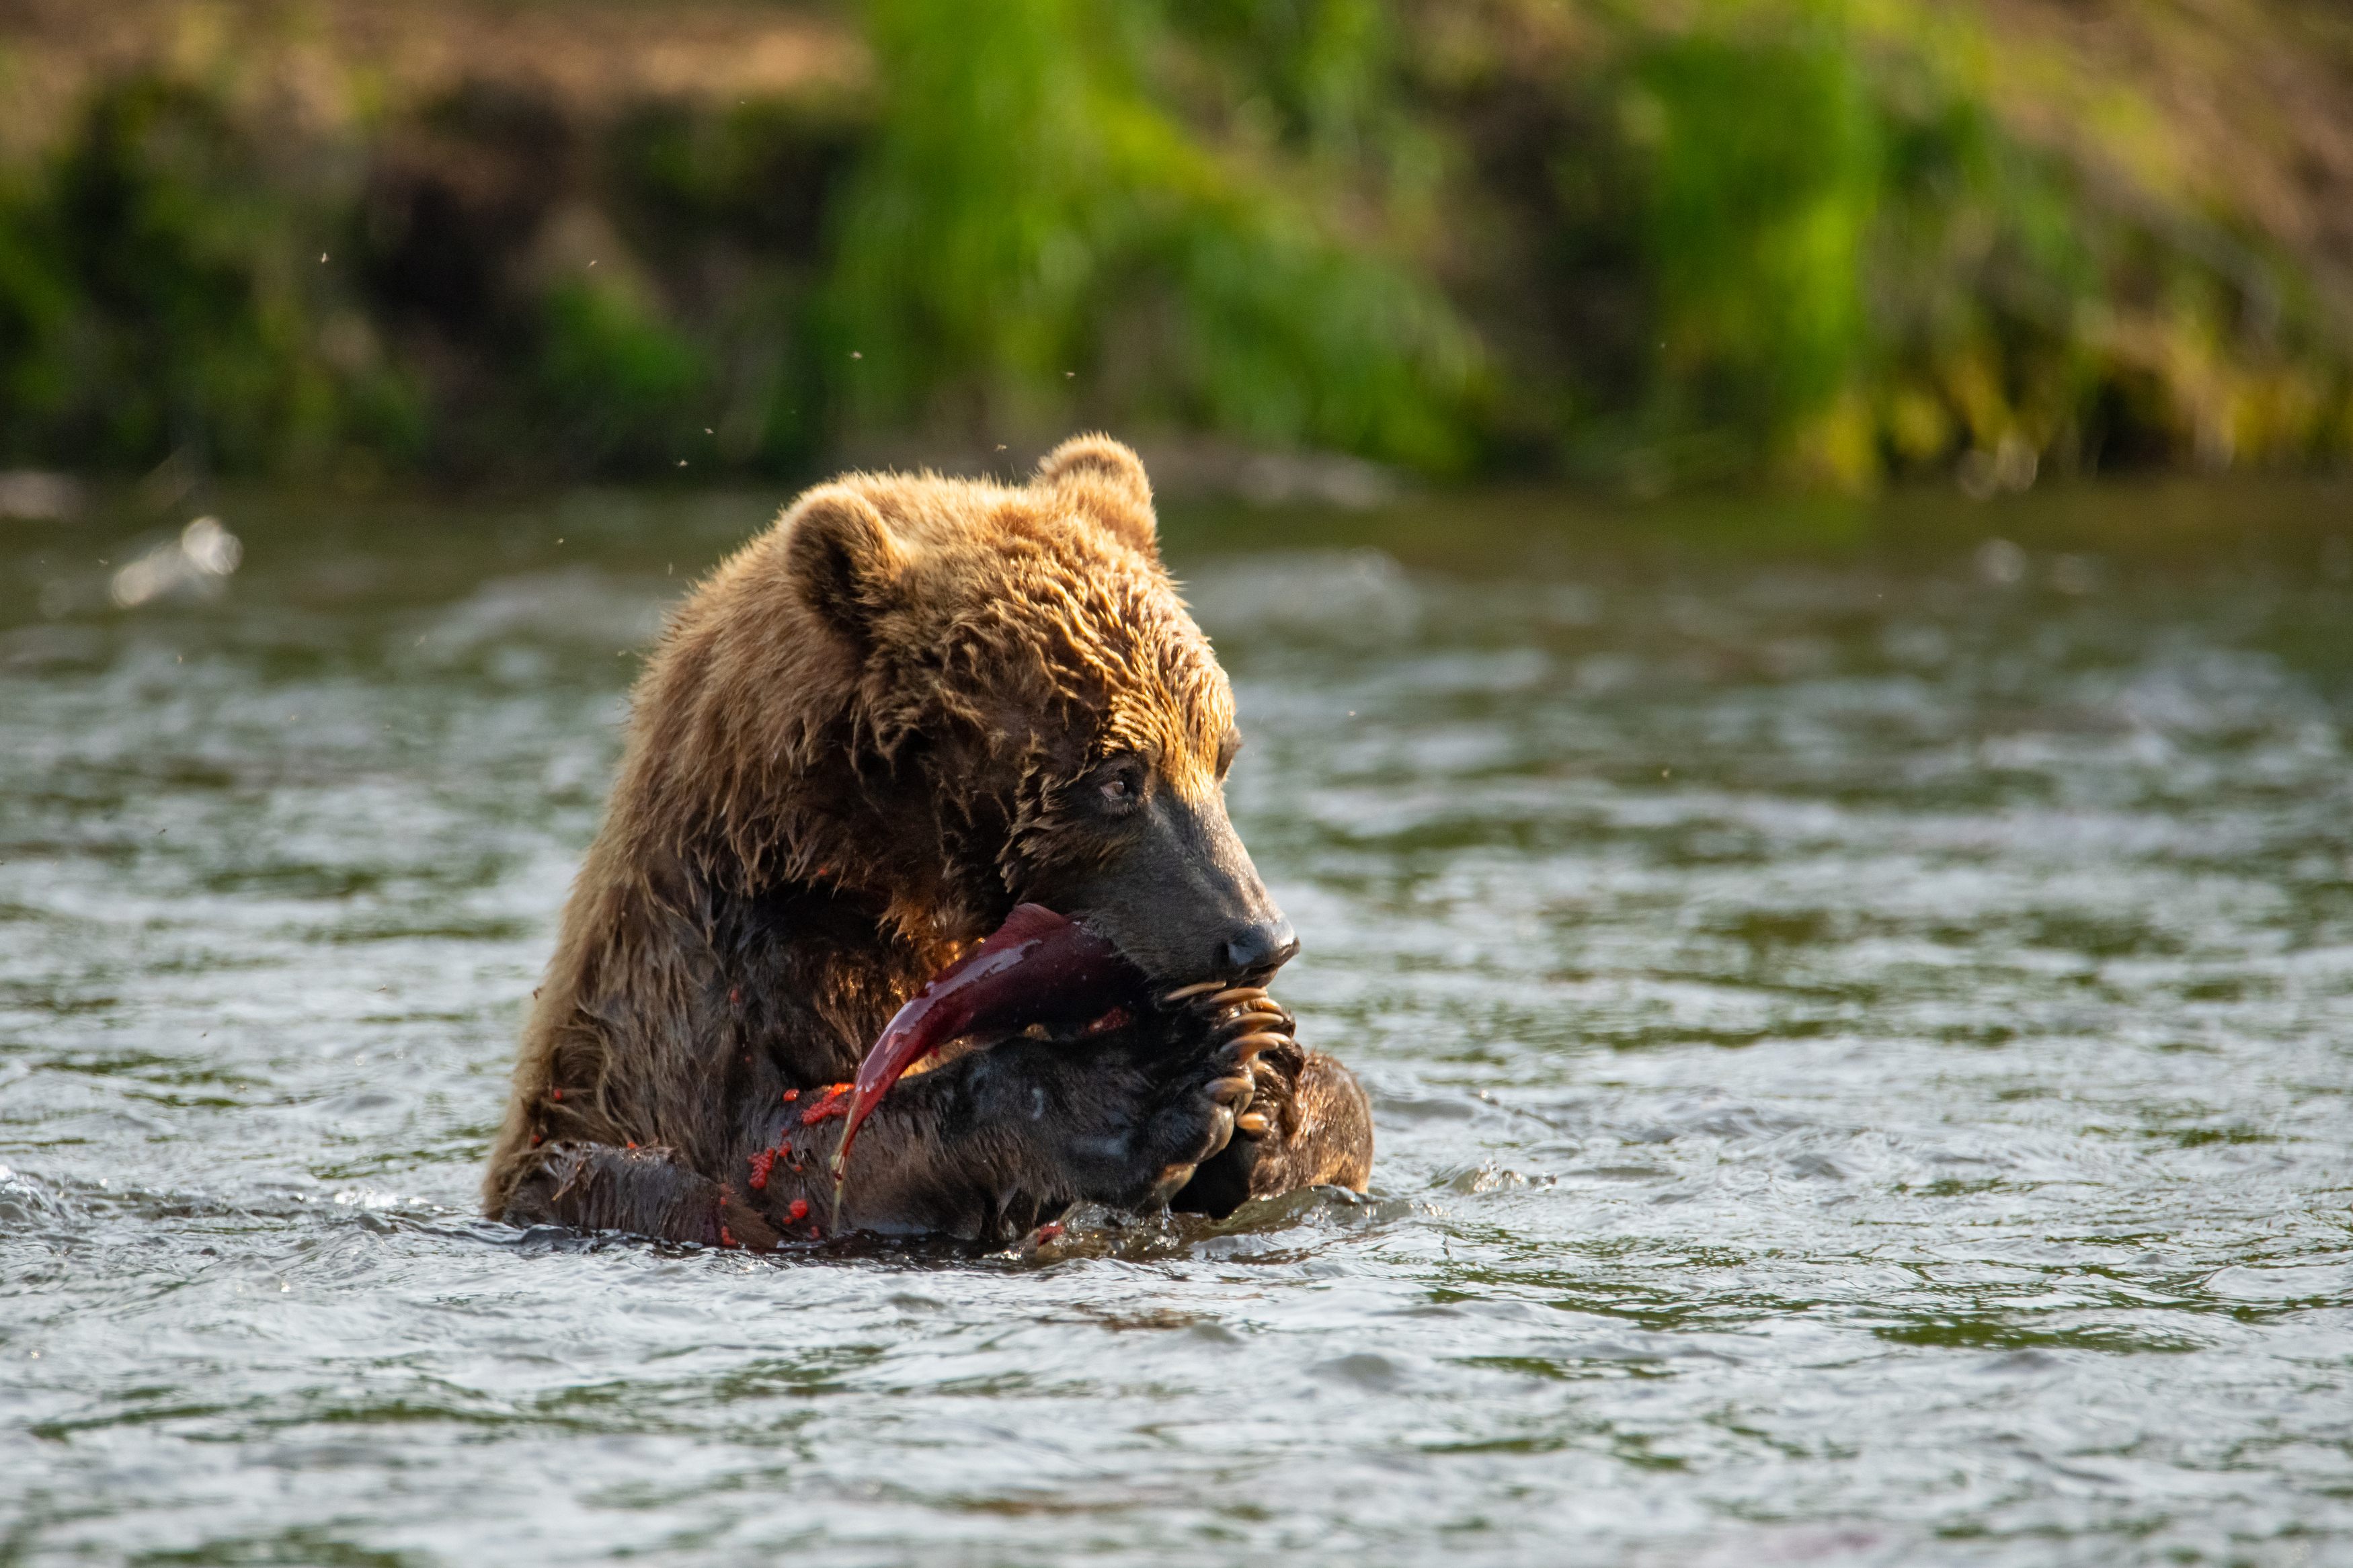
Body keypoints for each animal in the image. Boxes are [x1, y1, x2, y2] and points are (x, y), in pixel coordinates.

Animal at [485, 435, 1374, 1241]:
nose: (1257, 937)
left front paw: (1278, 1093)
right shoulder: (715, 1005)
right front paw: (1170, 1068)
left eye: (1219, 752)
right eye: (1120, 777)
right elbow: (801, 1155)